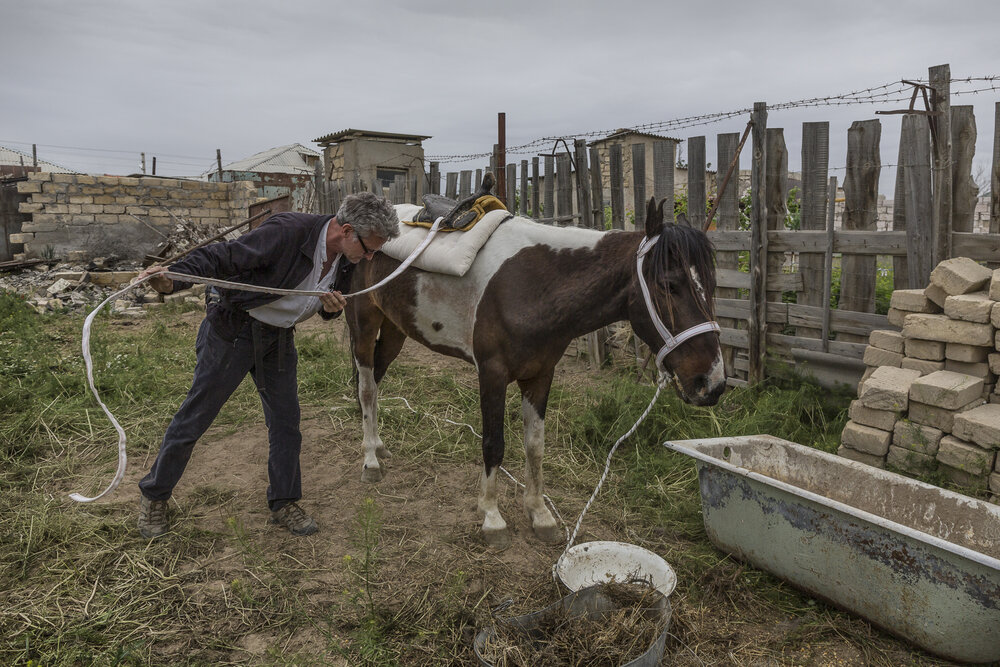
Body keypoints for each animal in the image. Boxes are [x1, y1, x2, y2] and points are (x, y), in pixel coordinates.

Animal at [348, 193, 724, 548]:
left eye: (711, 285)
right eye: (669, 285)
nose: (712, 383)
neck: (534, 283)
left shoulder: (541, 374)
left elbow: (535, 445)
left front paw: (540, 514)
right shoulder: (492, 373)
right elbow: (493, 443)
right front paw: (492, 518)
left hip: (395, 329)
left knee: (375, 382)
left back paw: (378, 445)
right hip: (364, 322)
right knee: (366, 388)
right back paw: (370, 462)